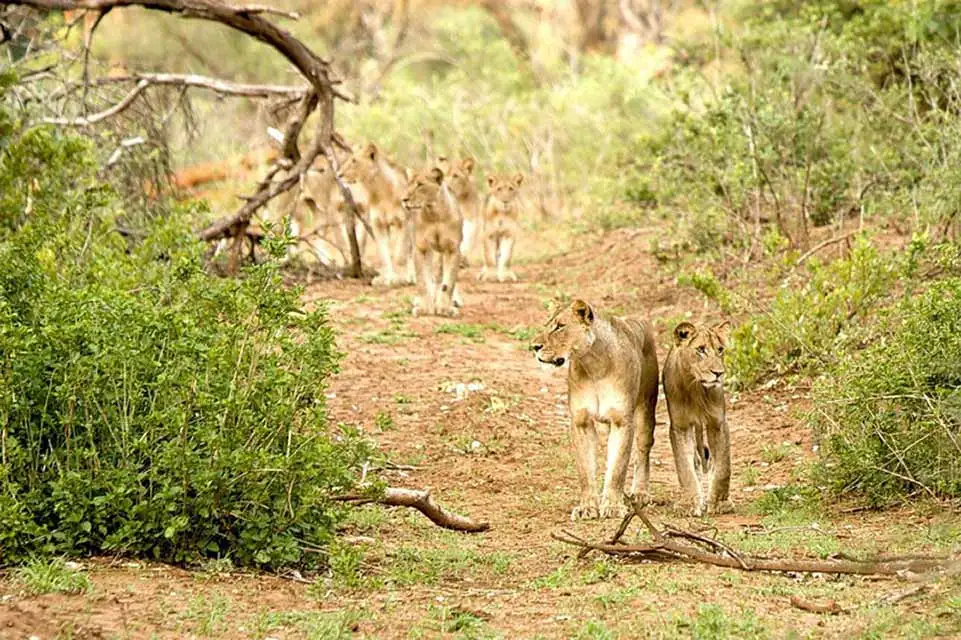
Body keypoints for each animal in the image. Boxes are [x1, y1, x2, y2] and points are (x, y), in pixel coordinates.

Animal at [339, 142, 414, 286]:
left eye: (354, 161)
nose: (339, 174)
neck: (379, 191)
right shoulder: (379, 225)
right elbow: (384, 254)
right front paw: (387, 278)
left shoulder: (404, 222)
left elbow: (400, 255)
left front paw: (400, 278)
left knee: (411, 250)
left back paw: (412, 276)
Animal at [400, 166, 463, 317]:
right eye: (408, 184)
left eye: (420, 184)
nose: (404, 199)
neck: (434, 213)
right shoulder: (421, 248)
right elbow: (423, 282)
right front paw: (425, 308)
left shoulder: (452, 249)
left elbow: (448, 283)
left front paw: (445, 309)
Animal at [530, 300, 659, 520]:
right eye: (547, 325)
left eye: (560, 326)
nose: (534, 346)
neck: (593, 365)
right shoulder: (581, 421)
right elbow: (585, 470)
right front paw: (587, 507)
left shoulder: (622, 421)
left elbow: (617, 469)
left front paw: (613, 506)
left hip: (646, 409)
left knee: (642, 451)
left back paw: (640, 493)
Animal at [663, 321, 733, 517]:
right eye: (701, 350)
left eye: (720, 350)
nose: (719, 373)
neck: (696, 389)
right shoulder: (680, 426)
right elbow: (684, 468)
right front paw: (690, 503)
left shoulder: (718, 423)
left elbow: (723, 467)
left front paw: (719, 503)